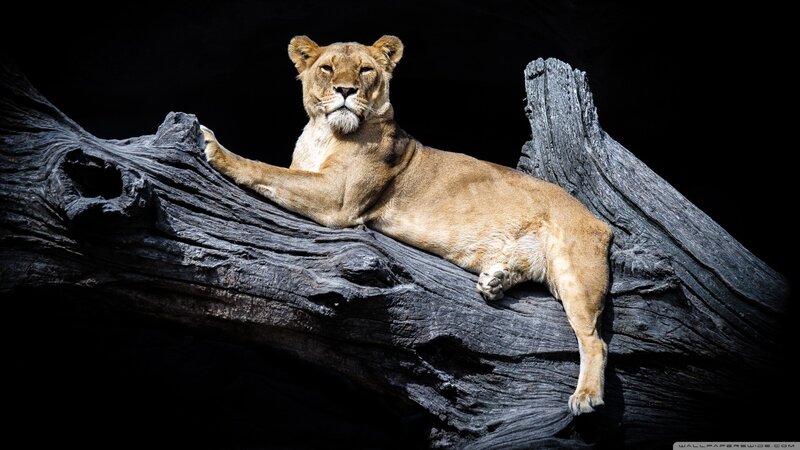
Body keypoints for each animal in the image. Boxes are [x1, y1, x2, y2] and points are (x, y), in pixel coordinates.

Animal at [200, 35, 612, 415]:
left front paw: (216, 149)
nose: (346, 91)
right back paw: (496, 280)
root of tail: (598, 220)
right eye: (327, 68)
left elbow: (268, 170)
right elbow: (281, 173)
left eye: (365, 70)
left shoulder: (339, 199)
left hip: (575, 273)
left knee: (596, 341)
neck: (323, 135)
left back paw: (586, 396)